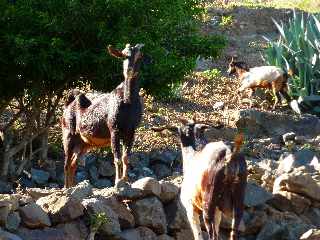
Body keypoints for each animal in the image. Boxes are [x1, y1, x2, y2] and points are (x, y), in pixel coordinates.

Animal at [60, 43, 145, 188]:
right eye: (123, 56)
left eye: (139, 56)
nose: (129, 70)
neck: (128, 101)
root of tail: (68, 104)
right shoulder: (114, 130)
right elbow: (117, 159)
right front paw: (117, 182)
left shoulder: (131, 131)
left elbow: (126, 158)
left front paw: (126, 180)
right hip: (68, 134)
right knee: (66, 163)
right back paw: (66, 188)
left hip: (84, 143)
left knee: (73, 163)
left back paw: (72, 186)